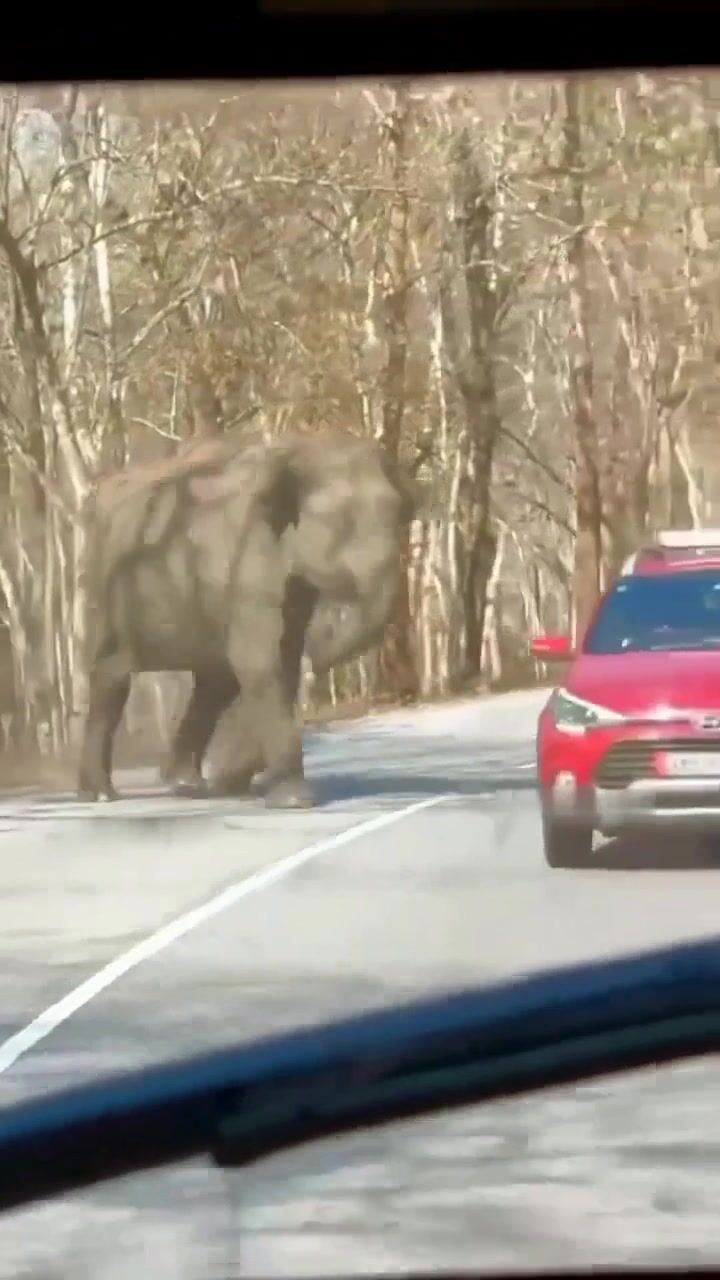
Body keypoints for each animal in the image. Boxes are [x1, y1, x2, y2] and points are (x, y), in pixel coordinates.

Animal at [77, 428, 415, 809]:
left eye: (402, 514)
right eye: (343, 522)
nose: (322, 643)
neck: (303, 451)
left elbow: (278, 663)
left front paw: (236, 784)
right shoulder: (245, 558)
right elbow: (260, 663)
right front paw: (292, 802)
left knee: (215, 683)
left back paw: (186, 784)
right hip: (105, 585)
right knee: (112, 678)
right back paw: (102, 794)